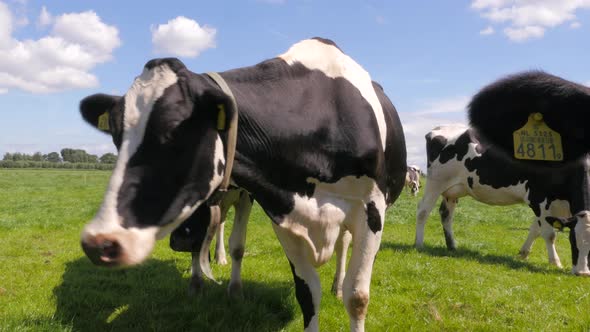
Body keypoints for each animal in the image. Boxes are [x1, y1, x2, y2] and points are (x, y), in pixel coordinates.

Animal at [78, 37, 410, 330]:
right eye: (116, 135)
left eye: (174, 130)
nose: (99, 241)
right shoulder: (284, 214)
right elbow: (307, 295)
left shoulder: (371, 211)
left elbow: (358, 298)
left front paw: (344, 291)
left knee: (343, 247)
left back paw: (337, 285)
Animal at [414, 124, 568, 268]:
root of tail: (439, 128)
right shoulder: (539, 198)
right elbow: (549, 234)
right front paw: (556, 262)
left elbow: (536, 229)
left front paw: (523, 253)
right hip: (435, 183)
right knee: (423, 210)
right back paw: (419, 243)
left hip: (452, 191)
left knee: (446, 214)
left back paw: (452, 246)